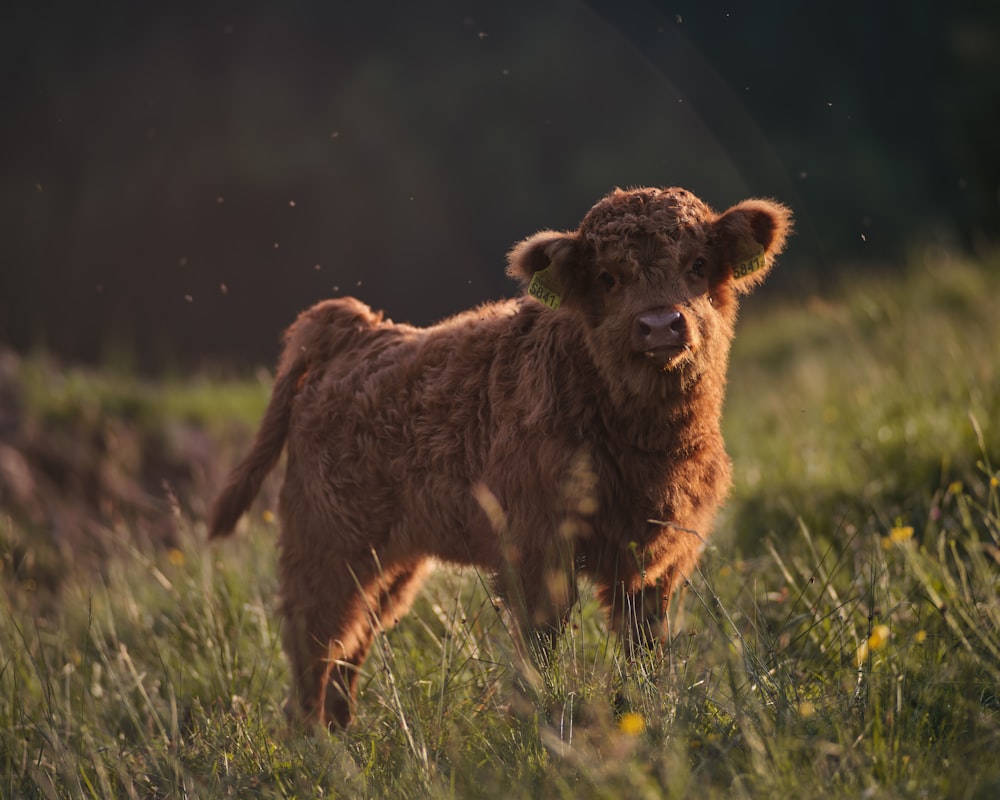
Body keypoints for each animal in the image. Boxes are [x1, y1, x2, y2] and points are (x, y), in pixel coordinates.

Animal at [209, 186, 788, 724]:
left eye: (697, 265)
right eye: (608, 277)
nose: (661, 324)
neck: (646, 443)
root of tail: (358, 331)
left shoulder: (655, 559)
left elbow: (644, 650)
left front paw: (650, 710)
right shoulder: (535, 550)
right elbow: (541, 647)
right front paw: (542, 720)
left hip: (390, 562)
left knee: (348, 653)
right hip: (325, 546)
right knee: (314, 651)